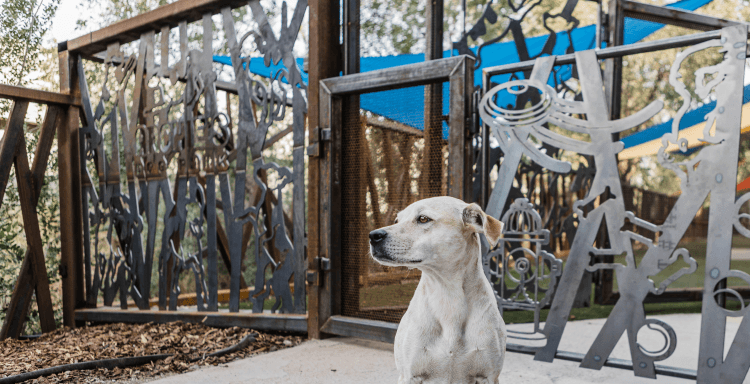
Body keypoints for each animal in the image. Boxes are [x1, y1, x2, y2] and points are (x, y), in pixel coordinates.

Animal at [368, 198, 508, 384]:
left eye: (423, 219)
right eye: (397, 220)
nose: (373, 235)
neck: (447, 294)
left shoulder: (489, 376)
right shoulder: (409, 375)